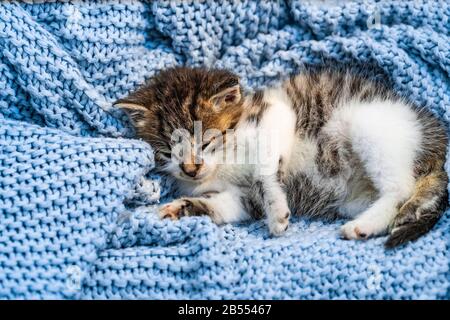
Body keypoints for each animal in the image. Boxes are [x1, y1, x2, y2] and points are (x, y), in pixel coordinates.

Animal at [115, 65, 446, 248]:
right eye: (167, 152)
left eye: (207, 141)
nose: (191, 170)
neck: (222, 164)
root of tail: (436, 139)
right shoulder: (239, 196)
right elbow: (223, 206)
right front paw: (178, 208)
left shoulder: (276, 116)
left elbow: (264, 174)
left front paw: (276, 212)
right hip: (352, 198)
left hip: (372, 127)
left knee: (399, 188)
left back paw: (363, 225)